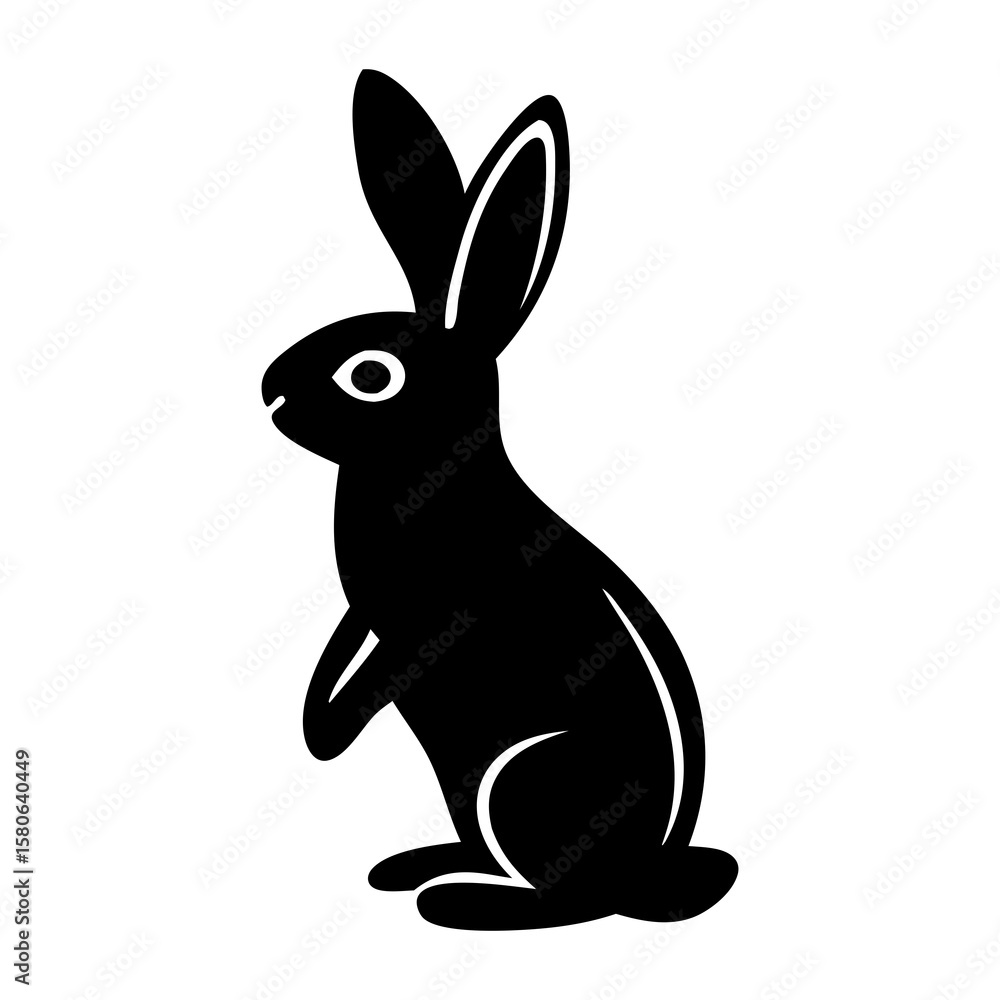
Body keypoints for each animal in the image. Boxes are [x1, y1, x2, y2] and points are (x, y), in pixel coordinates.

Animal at [261, 69, 736, 930]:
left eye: (371, 373)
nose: (268, 389)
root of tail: (646, 877)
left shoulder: (442, 609)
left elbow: (401, 658)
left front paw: (333, 730)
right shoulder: (365, 614)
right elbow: (343, 646)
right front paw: (319, 721)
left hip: (526, 777)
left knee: (565, 899)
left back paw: (462, 903)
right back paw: (419, 867)